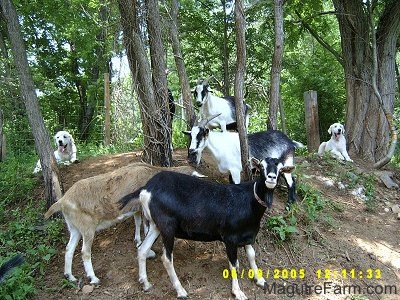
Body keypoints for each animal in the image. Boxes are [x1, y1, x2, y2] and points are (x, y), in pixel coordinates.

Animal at [119, 158, 294, 298]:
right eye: (261, 167)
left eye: (281, 169)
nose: (271, 178)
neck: (249, 200)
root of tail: (146, 189)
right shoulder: (230, 238)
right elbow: (233, 263)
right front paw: (238, 292)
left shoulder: (248, 235)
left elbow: (252, 255)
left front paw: (260, 279)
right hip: (167, 227)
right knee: (167, 259)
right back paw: (180, 291)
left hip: (156, 225)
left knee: (142, 249)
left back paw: (145, 283)